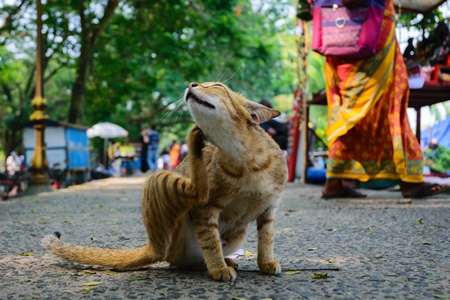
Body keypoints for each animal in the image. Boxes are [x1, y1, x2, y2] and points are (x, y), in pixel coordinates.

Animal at [42, 81, 288, 282]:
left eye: (217, 85)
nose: (191, 83)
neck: (245, 160)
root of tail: (155, 246)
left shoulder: (270, 208)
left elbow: (267, 239)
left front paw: (266, 261)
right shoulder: (205, 210)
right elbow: (211, 242)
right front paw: (218, 267)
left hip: (237, 234)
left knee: (188, 261)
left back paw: (224, 260)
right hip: (159, 182)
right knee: (195, 201)